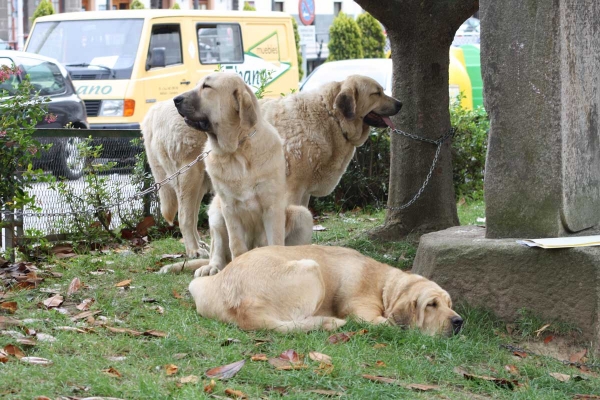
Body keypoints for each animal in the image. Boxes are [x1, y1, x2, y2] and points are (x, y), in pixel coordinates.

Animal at [159, 73, 314, 276]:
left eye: (207, 87)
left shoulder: (272, 207)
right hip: (216, 214)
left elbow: (275, 242)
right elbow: (236, 246)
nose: (175, 100)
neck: (236, 151)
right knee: (218, 253)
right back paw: (211, 268)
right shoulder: (229, 208)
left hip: (302, 215)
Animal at [190, 245, 462, 336]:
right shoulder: (364, 314)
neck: (385, 286)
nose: (459, 321)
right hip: (312, 268)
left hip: (197, 285)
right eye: (431, 305)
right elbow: (394, 324)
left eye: (449, 304)